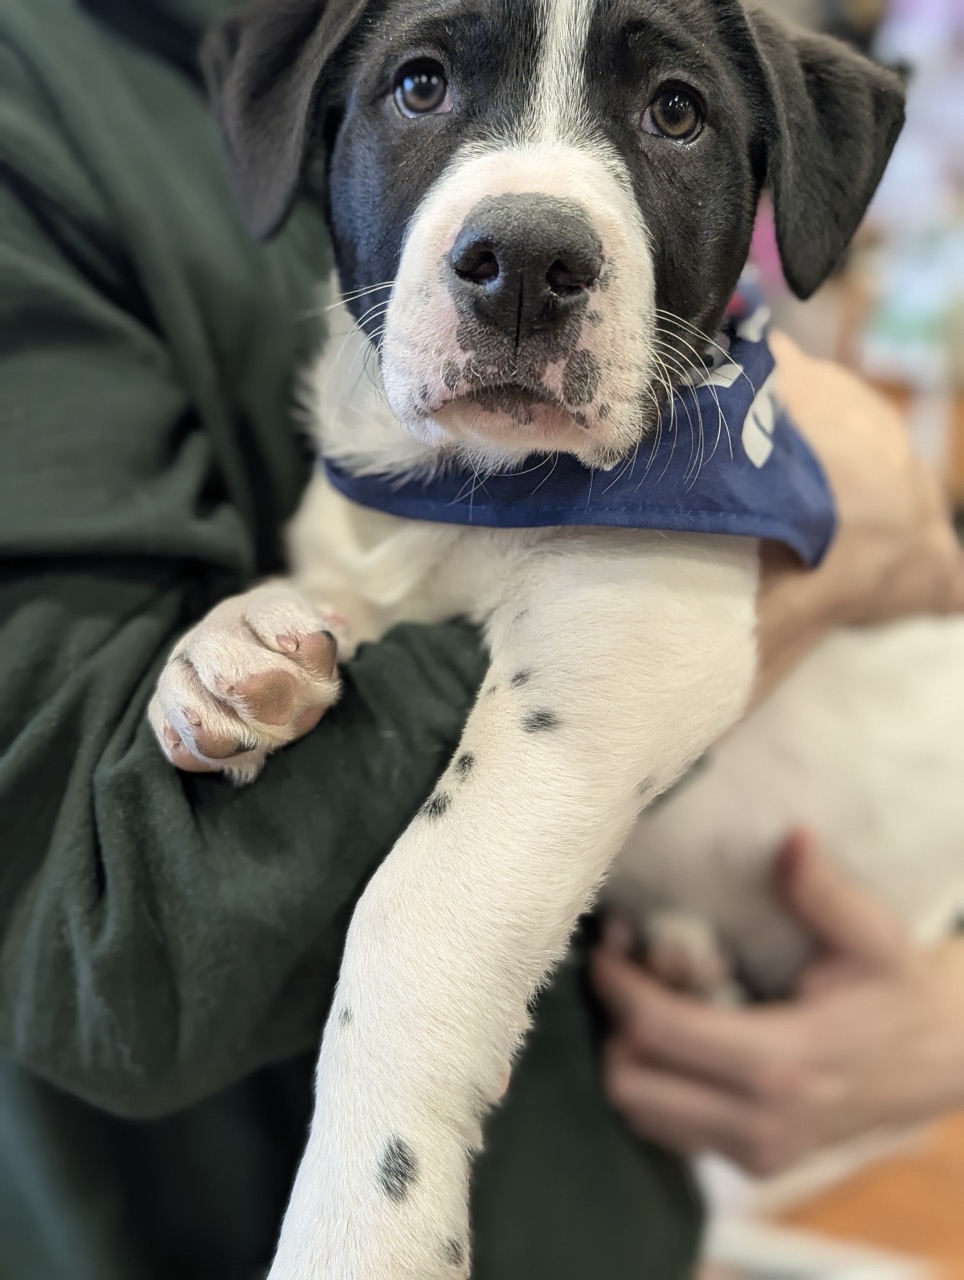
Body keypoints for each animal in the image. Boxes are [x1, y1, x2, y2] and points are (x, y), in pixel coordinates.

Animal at [148, 1, 964, 1276]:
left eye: (675, 112)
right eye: (419, 85)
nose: (526, 261)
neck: (470, 489)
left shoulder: (622, 648)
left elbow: (413, 905)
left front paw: (366, 1219)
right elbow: (331, 586)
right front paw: (234, 650)